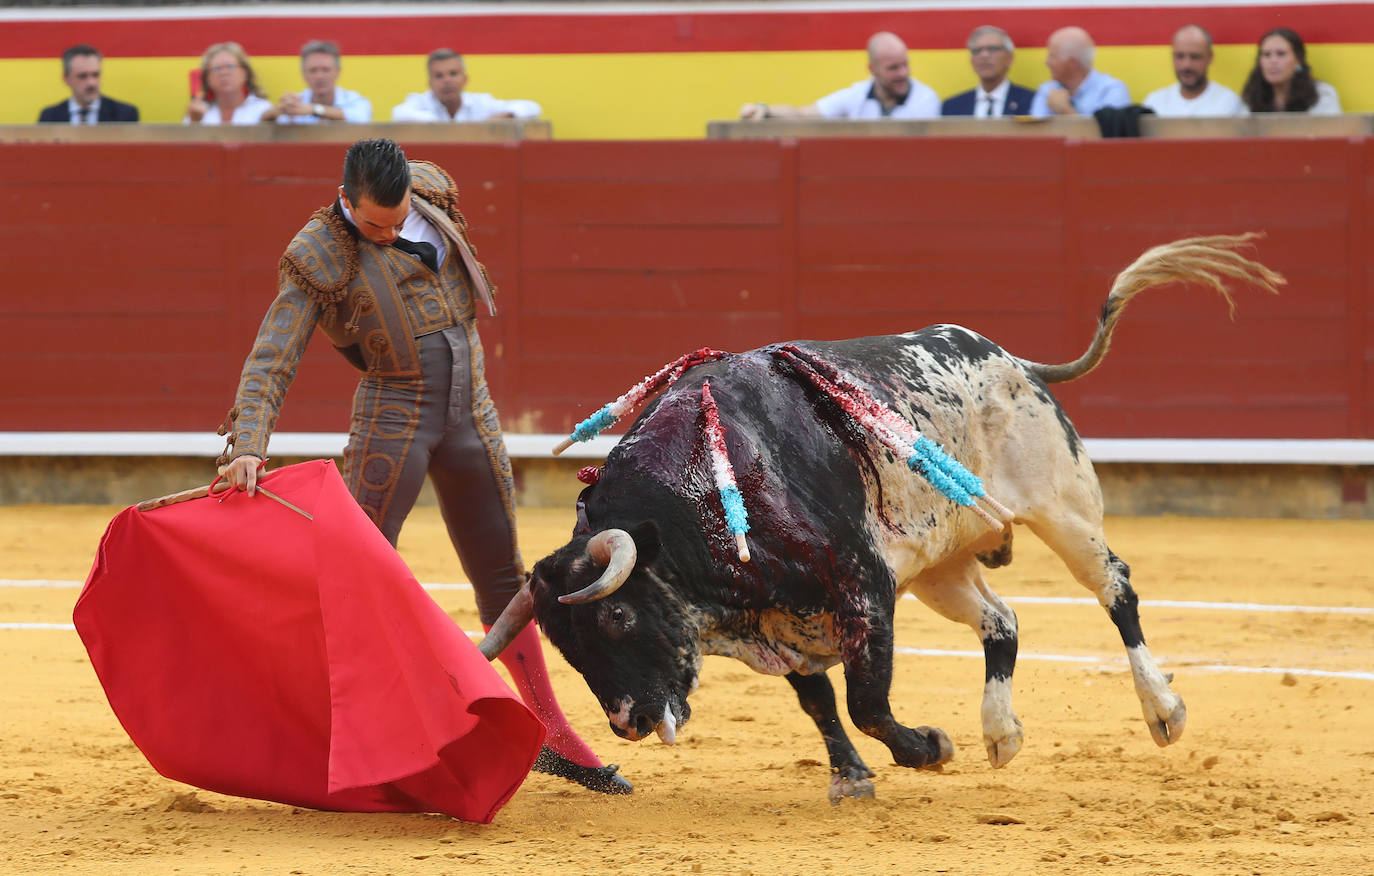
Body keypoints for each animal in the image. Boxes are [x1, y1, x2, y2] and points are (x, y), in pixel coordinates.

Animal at [478, 234, 1280, 801]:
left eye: (616, 618)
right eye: (565, 648)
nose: (628, 723)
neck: (706, 500)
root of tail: (1013, 361)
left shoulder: (865, 590)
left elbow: (865, 700)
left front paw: (927, 748)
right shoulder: (789, 626)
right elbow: (820, 703)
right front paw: (852, 777)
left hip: (1063, 506)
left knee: (1116, 588)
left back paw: (1162, 711)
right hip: (940, 563)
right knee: (1002, 621)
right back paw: (1001, 733)